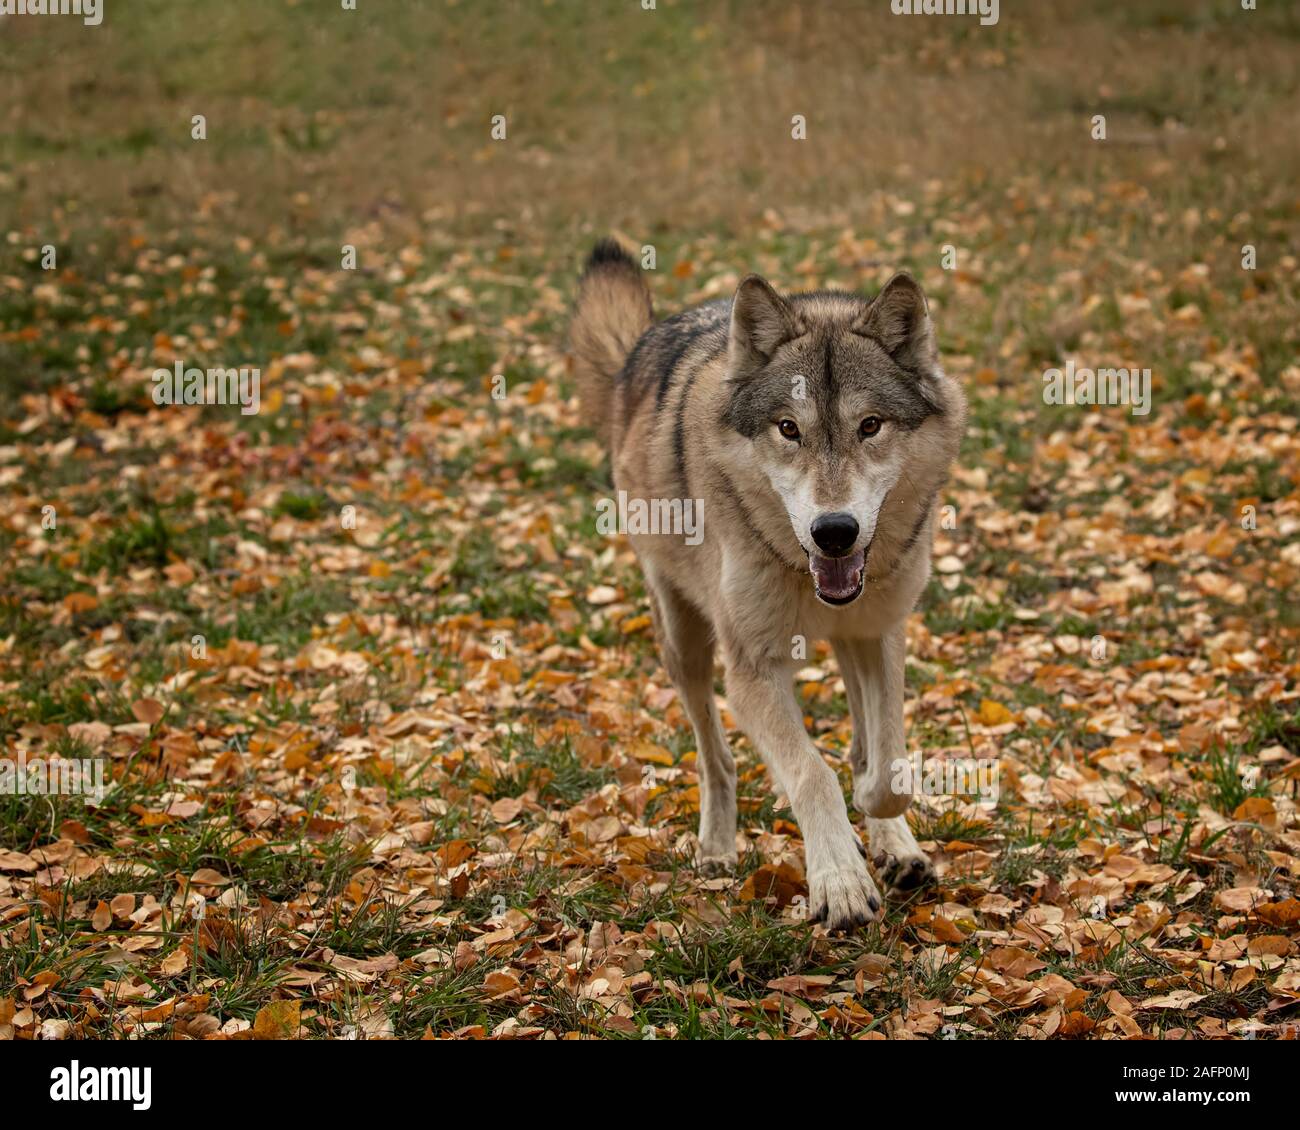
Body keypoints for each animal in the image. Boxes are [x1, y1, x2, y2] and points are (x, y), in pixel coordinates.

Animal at [569, 239, 966, 929]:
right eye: (788, 428)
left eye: (870, 426)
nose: (834, 531)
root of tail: (643, 343)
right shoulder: (751, 668)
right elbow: (811, 772)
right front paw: (840, 883)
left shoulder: (881, 630)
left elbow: (884, 764)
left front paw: (881, 826)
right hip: (685, 645)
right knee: (716, 759)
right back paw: (716, 850)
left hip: (846, 643)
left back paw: (896, 847)